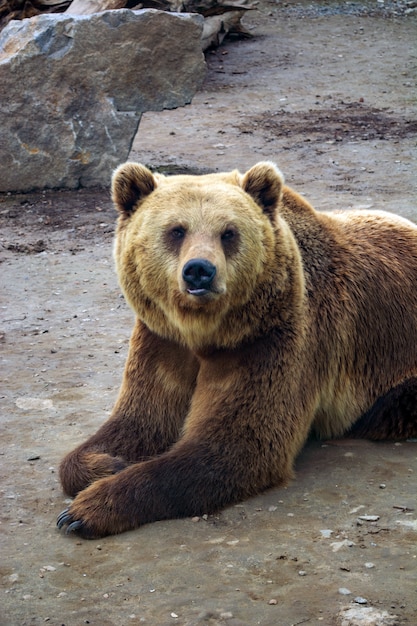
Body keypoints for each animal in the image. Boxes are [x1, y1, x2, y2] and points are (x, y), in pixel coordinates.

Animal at [57, 161, 416, 536]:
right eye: (177, 230)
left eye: (228, 232)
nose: (199, 271)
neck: (203, 331)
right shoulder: (162, 340)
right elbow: (140, 421)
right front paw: (106, 463)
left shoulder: (268, 339)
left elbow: (237, 444)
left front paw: (88, 509)